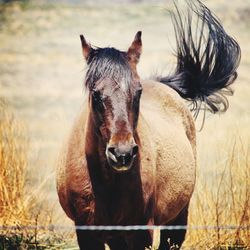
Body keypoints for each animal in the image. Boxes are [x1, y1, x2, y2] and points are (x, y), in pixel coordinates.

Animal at [56, 0, 240, 249]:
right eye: (95, 94)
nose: (122, 154)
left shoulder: (141, 232)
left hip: (177, 218)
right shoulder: (87, 233)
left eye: (138, 91)